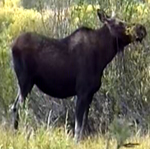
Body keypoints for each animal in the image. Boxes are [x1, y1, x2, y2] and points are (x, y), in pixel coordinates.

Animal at [10, 9, 146, 142]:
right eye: (119, 23)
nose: (142, 28)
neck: (103, 56)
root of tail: (12, 46)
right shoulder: (82, 92)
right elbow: (78, 126)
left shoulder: (90, 94)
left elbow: (84, 124)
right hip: (25, 81)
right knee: (18, 107)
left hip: (23, 84)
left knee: (14, 107)